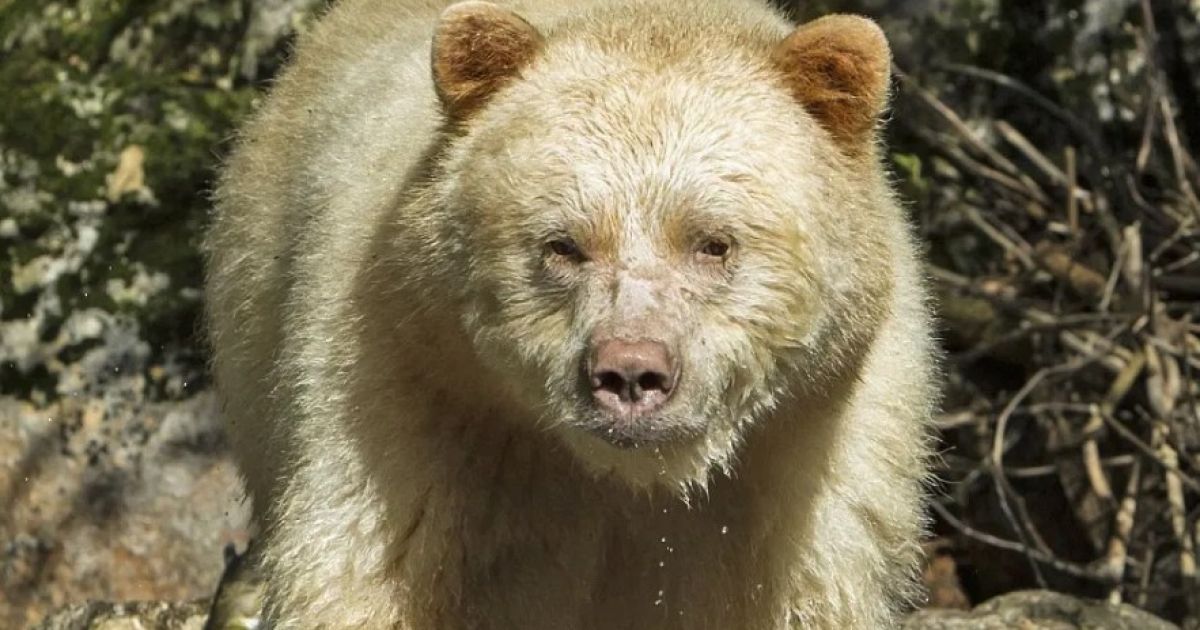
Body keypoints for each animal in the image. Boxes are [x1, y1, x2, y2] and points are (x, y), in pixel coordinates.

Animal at [203, 0, 939, 627]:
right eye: (563, 244)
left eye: (713, 242)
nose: (630, 373)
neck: (633, 481)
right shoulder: (412, 400)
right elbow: (374, 571)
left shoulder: (808, 465)